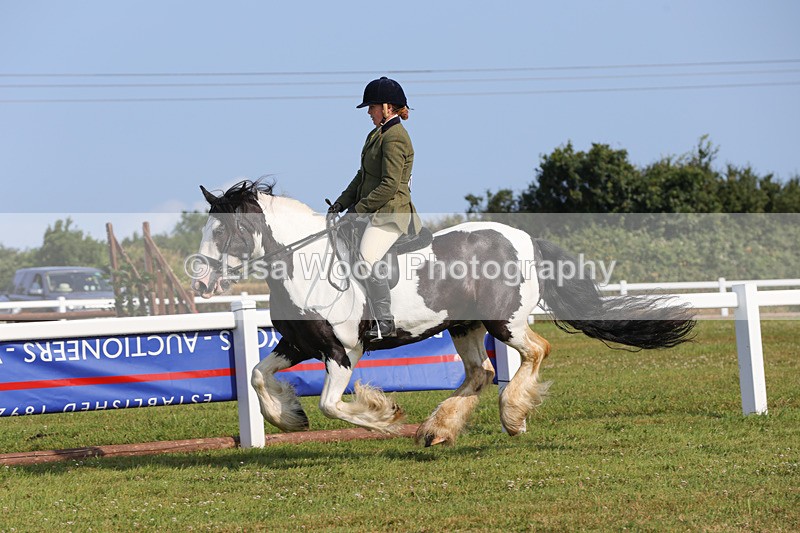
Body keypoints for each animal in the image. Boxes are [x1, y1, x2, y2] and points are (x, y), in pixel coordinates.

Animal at [192, 180, 695, 446]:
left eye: (226, 231)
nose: (200, 283)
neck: (304, 263)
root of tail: (526, 240)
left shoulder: (342, 351)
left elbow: (333, 405)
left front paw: (384, 415)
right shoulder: (298, 343)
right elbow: (257, 375)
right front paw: (289, 416)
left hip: (504, 322)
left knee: (536, 351)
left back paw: (512, 417)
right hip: (464, 326)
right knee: (481, 372)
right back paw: (438, 429)